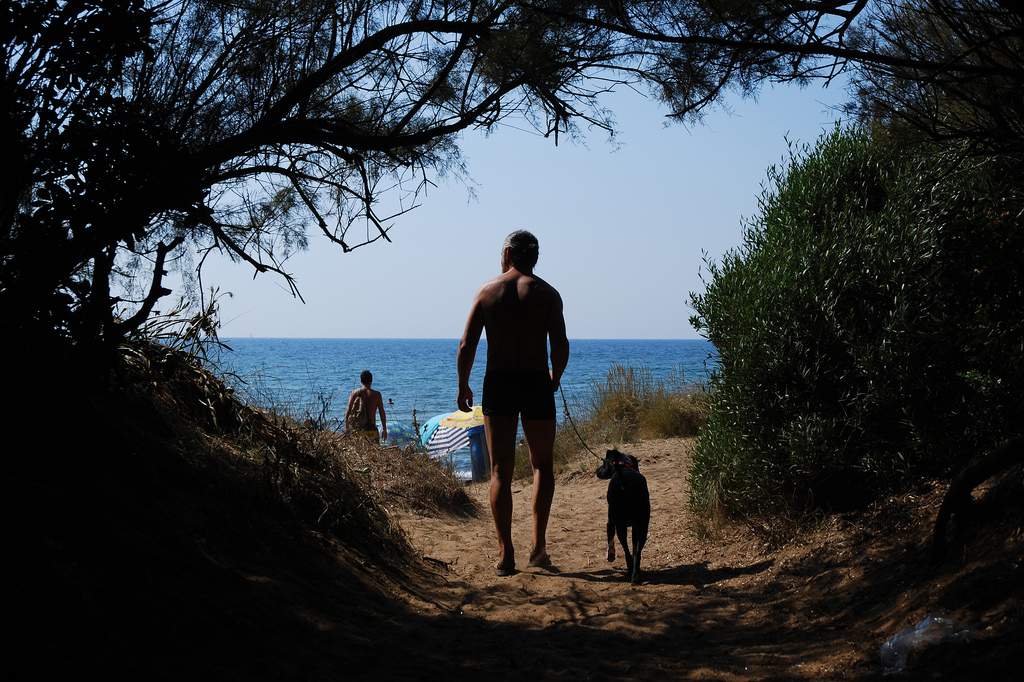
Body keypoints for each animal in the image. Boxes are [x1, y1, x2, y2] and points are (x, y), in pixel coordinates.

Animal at [598, 446, 651, 585]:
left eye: (604, 463)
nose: (596, 472)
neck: (624, 467)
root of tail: (628, 486)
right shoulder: (635, 528)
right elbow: (635, 550)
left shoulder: (611, 522)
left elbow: (610, 538)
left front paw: (610, 555)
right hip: (643, 525)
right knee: (637, 553)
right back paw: (635, 576)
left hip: (620, 524)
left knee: (627, 551)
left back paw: (630, 571)